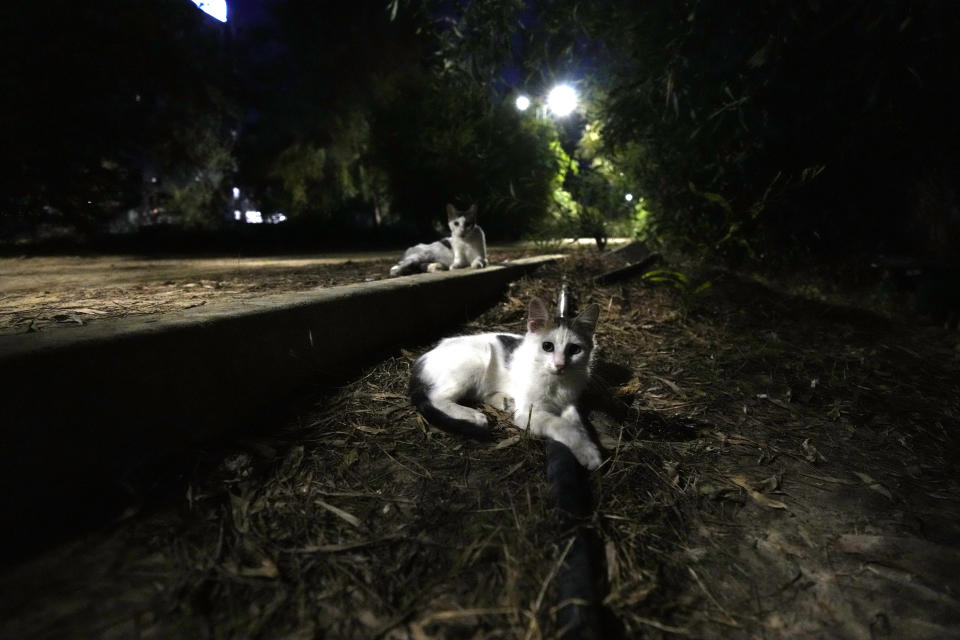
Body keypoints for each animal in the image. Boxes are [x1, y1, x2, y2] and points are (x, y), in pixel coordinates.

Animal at [408, 296, 604, 470]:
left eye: (575, 349)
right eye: (547, 346)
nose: (560, 365)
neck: (556, 382)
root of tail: (421, 359)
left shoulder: (569, 403)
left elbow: (577, 423)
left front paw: (586, 446)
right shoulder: (528, 413)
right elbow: (560, 424)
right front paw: (588, 452)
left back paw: (504, 401)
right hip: (478, 359)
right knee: (437, 397)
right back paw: (472, 415)